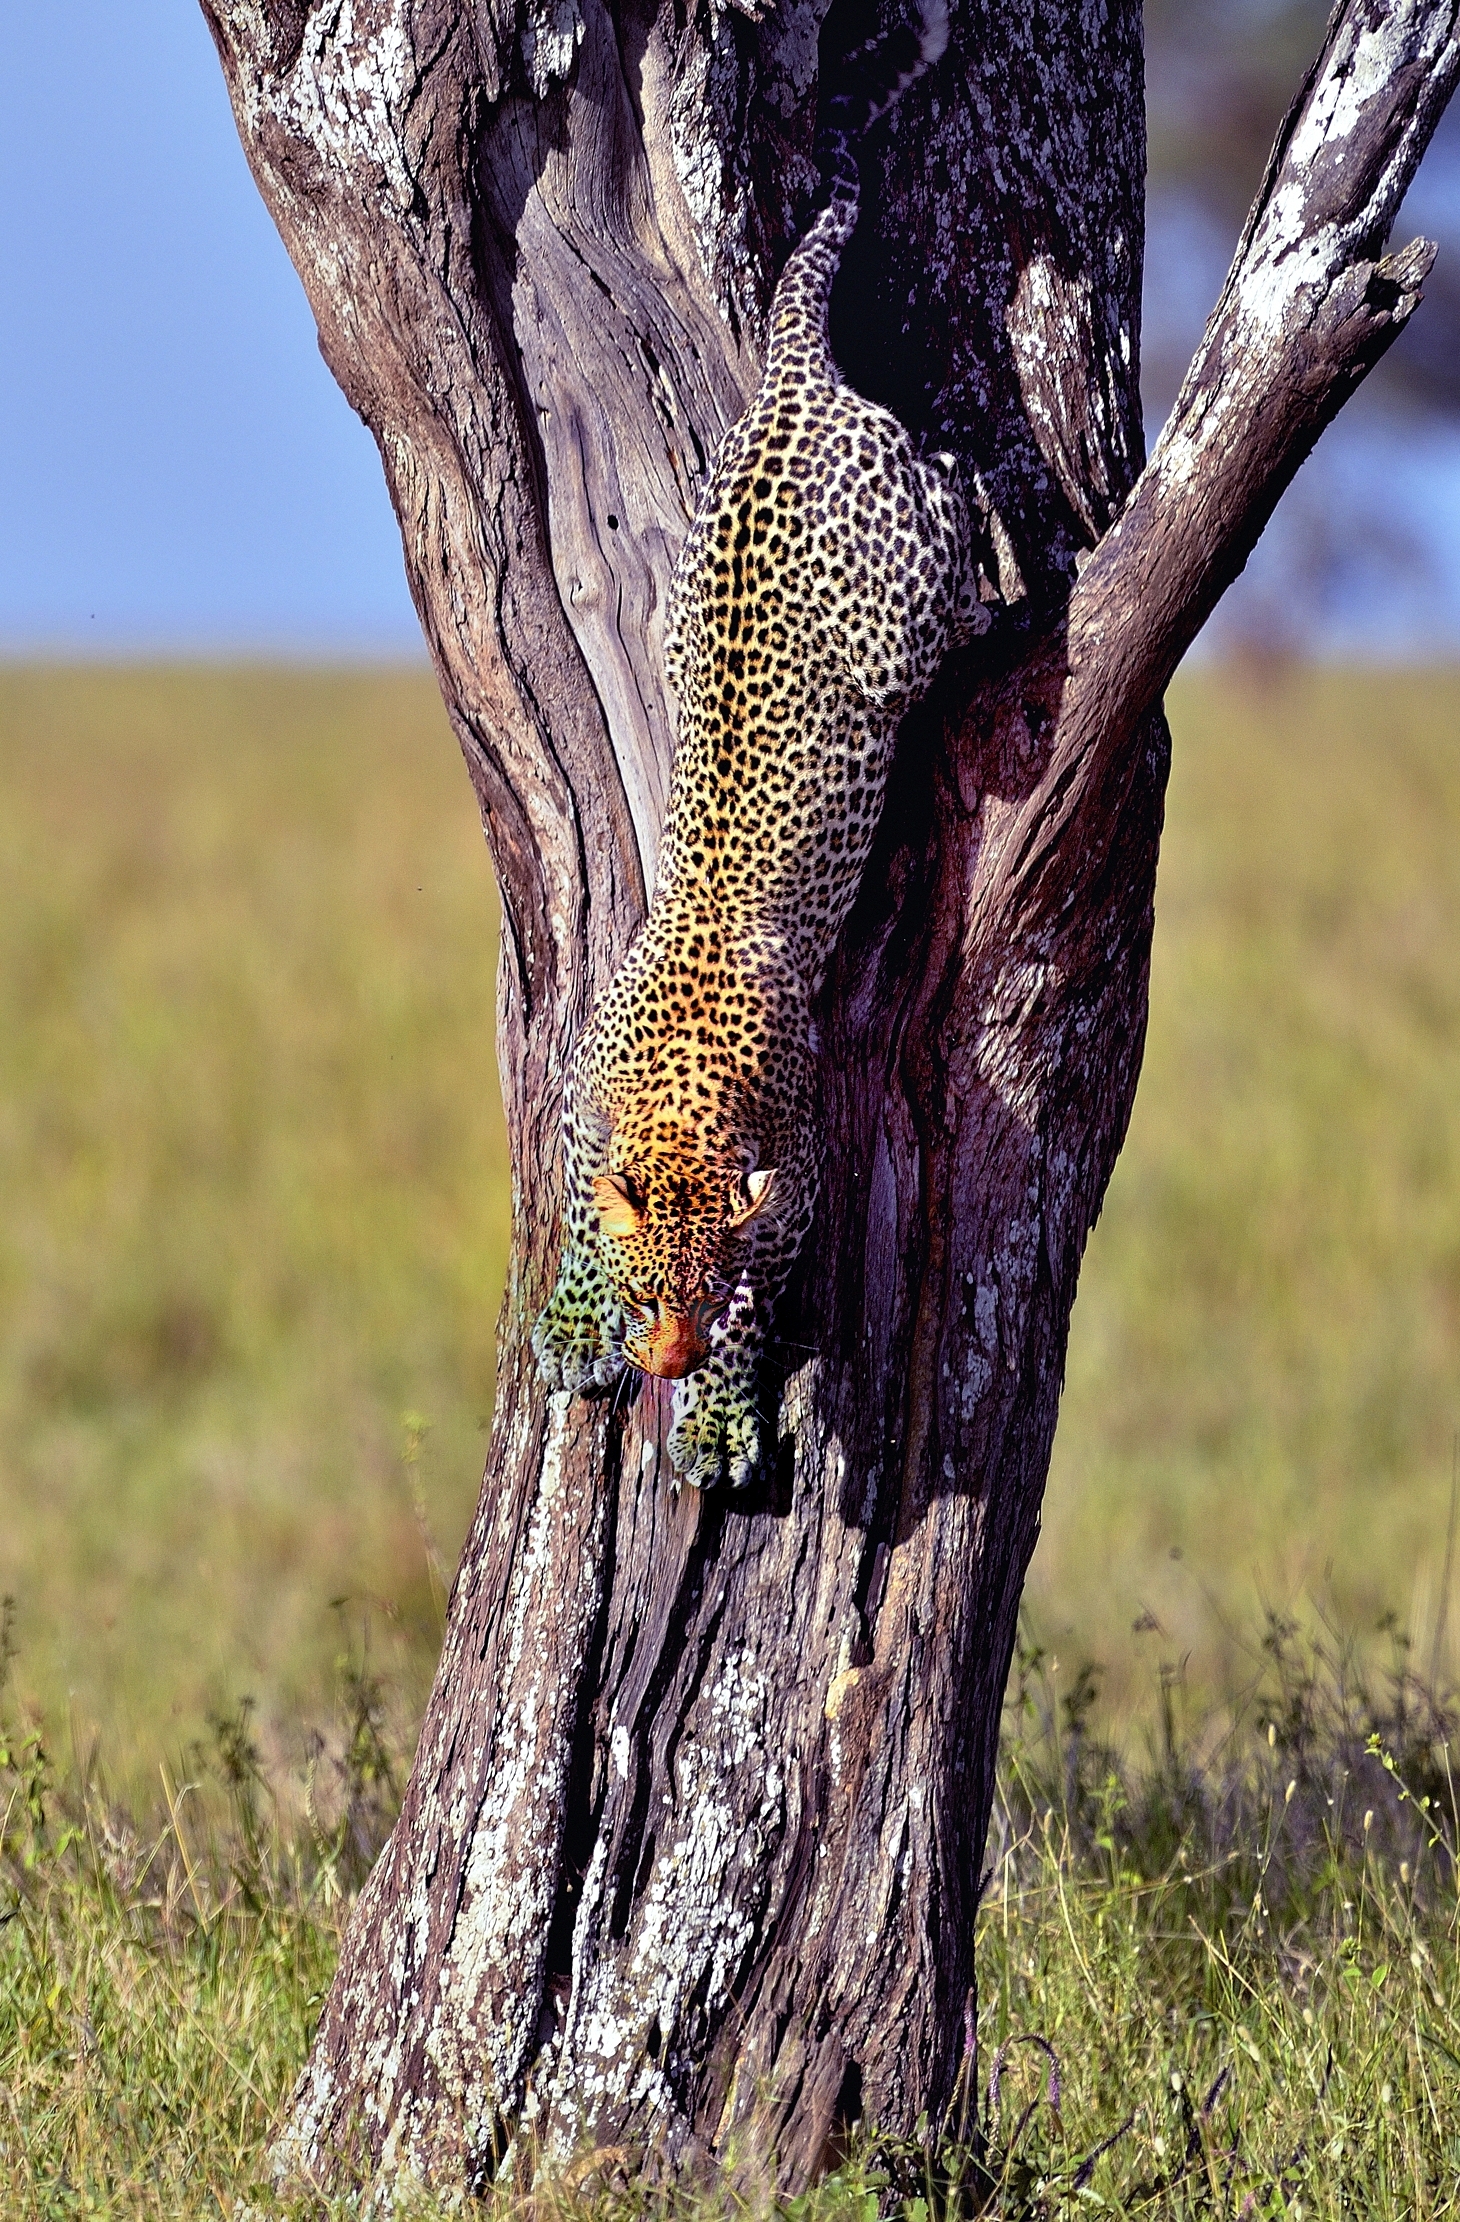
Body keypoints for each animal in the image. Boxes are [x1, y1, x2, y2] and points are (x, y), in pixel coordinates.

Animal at [532, 0, 987, 1489]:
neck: (676, 1095)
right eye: (644, 1291)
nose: (662, 1359)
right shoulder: (584, 1116)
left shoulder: (792, 1189)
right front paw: (572, 1318)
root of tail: (790, 386)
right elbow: (575, 1201)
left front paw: (721, 1414)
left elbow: (771, 1279)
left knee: (954, 488)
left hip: (904, 607)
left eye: (710, 1291)